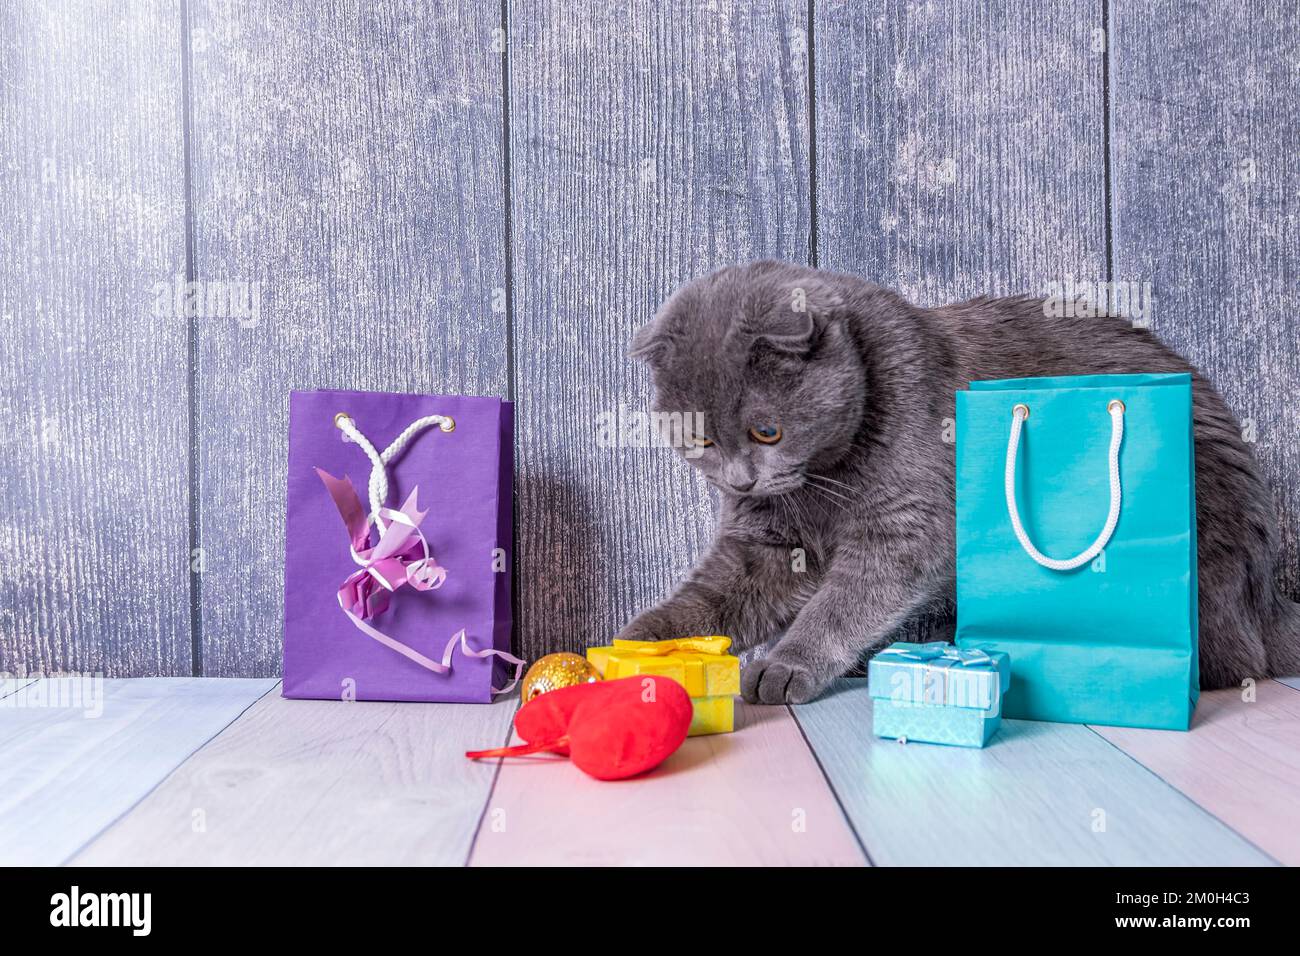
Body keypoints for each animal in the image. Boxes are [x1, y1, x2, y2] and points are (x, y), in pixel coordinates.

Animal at [621, 261, 1300, 702]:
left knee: (1224, 660)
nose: (740, 482)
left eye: (767, 431)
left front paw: (788, 665)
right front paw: (638, 643)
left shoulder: (906, 526)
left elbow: (843, 603)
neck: (823, 481)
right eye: (700, 440)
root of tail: (1268, 603)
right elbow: (713, 597)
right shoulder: (766, 543)